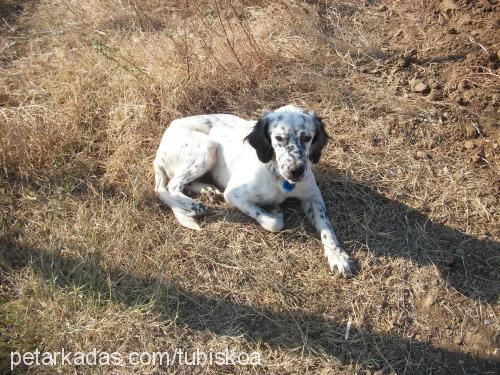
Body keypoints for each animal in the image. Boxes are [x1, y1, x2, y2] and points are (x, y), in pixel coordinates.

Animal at [154, 104, 354, 278]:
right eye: (279, 138)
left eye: (306, 137)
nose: (296, 171)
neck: (279, 178)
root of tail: (168, 131)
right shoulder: (233, 194)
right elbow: (272, 223)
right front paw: (275, 211)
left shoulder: (313, 197)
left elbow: (327, 228)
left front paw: (338, 257)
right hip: (208, 147)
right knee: (169, 186)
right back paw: (193, 205)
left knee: (184, 184)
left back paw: (207, 189)